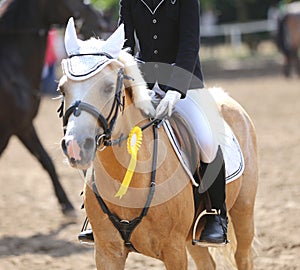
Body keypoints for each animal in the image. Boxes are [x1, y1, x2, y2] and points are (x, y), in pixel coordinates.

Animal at [58, 18, 258, 268]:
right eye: (62, 88)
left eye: (108, 87)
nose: (75, 146)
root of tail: (225, 98)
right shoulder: (107, 252)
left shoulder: (173, 250)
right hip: (192, 238)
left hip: (243, 211)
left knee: (243, 255)